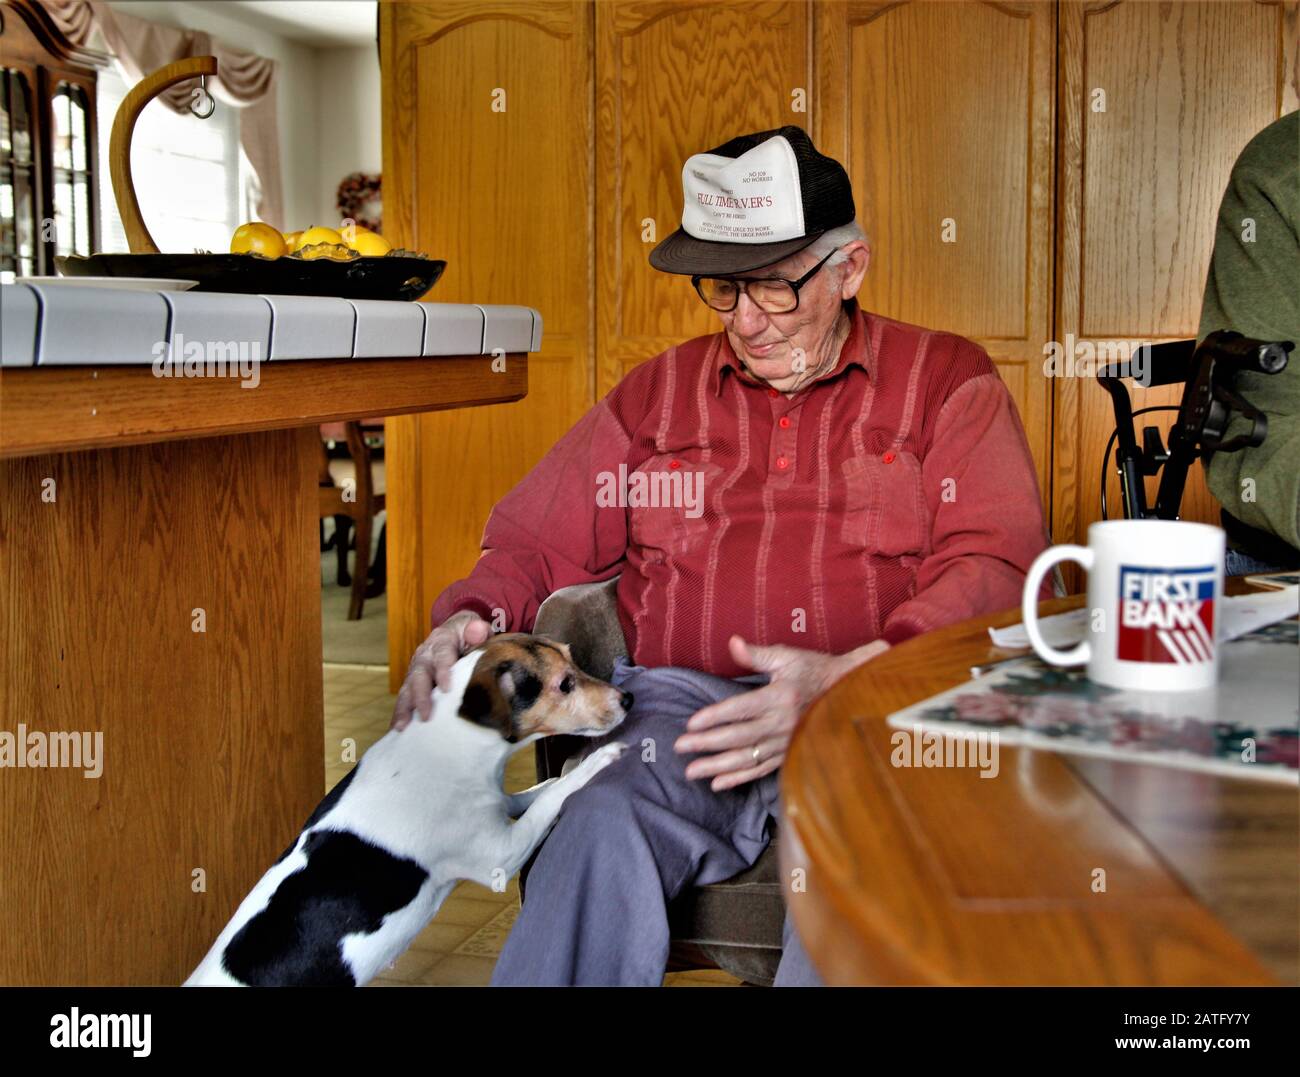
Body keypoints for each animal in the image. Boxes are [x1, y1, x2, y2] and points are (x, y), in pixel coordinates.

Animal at [184, 634, 629, 988]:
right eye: (565, 684)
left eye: (573, 658)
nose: (628, 698)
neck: (452, 738)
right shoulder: (499, 856)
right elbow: (551, 798)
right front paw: (598, 760)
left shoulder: (496, 804)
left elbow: (535, 792)